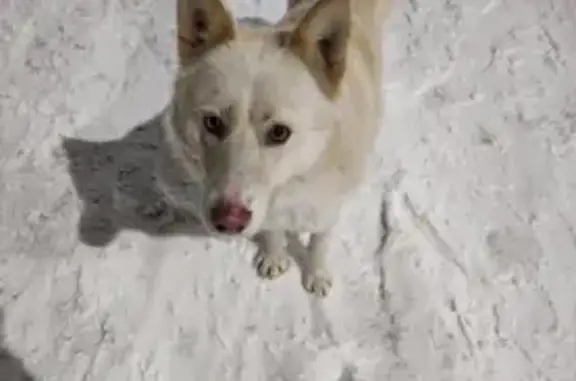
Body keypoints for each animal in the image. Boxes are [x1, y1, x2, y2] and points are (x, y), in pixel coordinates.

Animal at [162, 0, 392, 296]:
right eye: (212, 122)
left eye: (279, 132)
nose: (229, 221)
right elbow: (273, 232)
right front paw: (273, 257)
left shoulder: (327, 209)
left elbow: (319, 242)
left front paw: (316, 274)